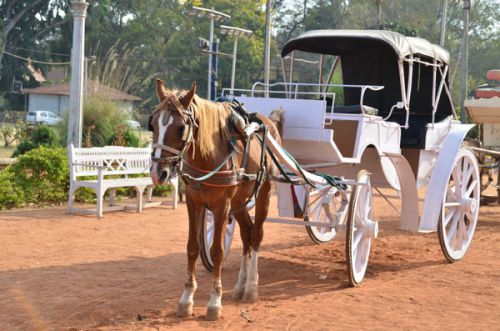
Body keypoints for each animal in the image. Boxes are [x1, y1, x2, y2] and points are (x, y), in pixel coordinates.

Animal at [148, 79, 284, 320]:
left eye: (181, 127)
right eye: (153, 125)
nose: (158, 173)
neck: (208, 155)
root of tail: (267, 123)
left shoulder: (222, 207)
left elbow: (217, 252)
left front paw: (214, 301)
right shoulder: (193, 203)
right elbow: (192, 247)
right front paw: (186, 299)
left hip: (264, 193)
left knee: (257, 235)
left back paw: (251, 287)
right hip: (239, 202)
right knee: (247, 234)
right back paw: (240, 286)